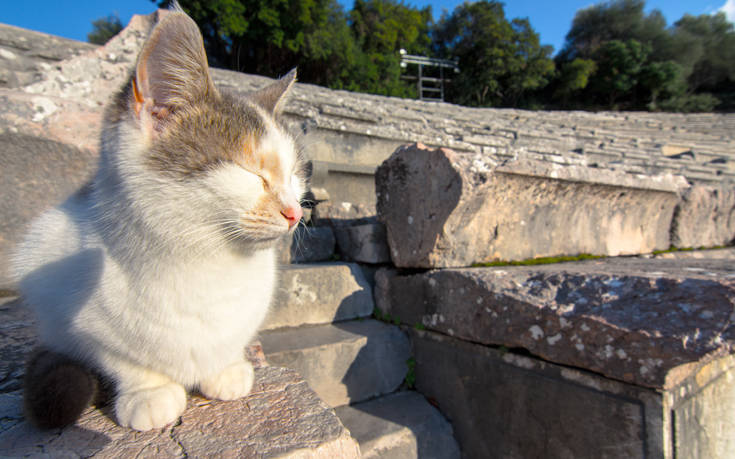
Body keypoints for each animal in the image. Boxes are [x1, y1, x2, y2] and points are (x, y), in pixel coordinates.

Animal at [11, 7, 304, 432]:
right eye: (251, 172)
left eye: (295, 175)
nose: (297, 211)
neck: (206, 266)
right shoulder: (65, 294)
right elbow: (121, 358)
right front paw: (149, 392)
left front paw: (226, 368)